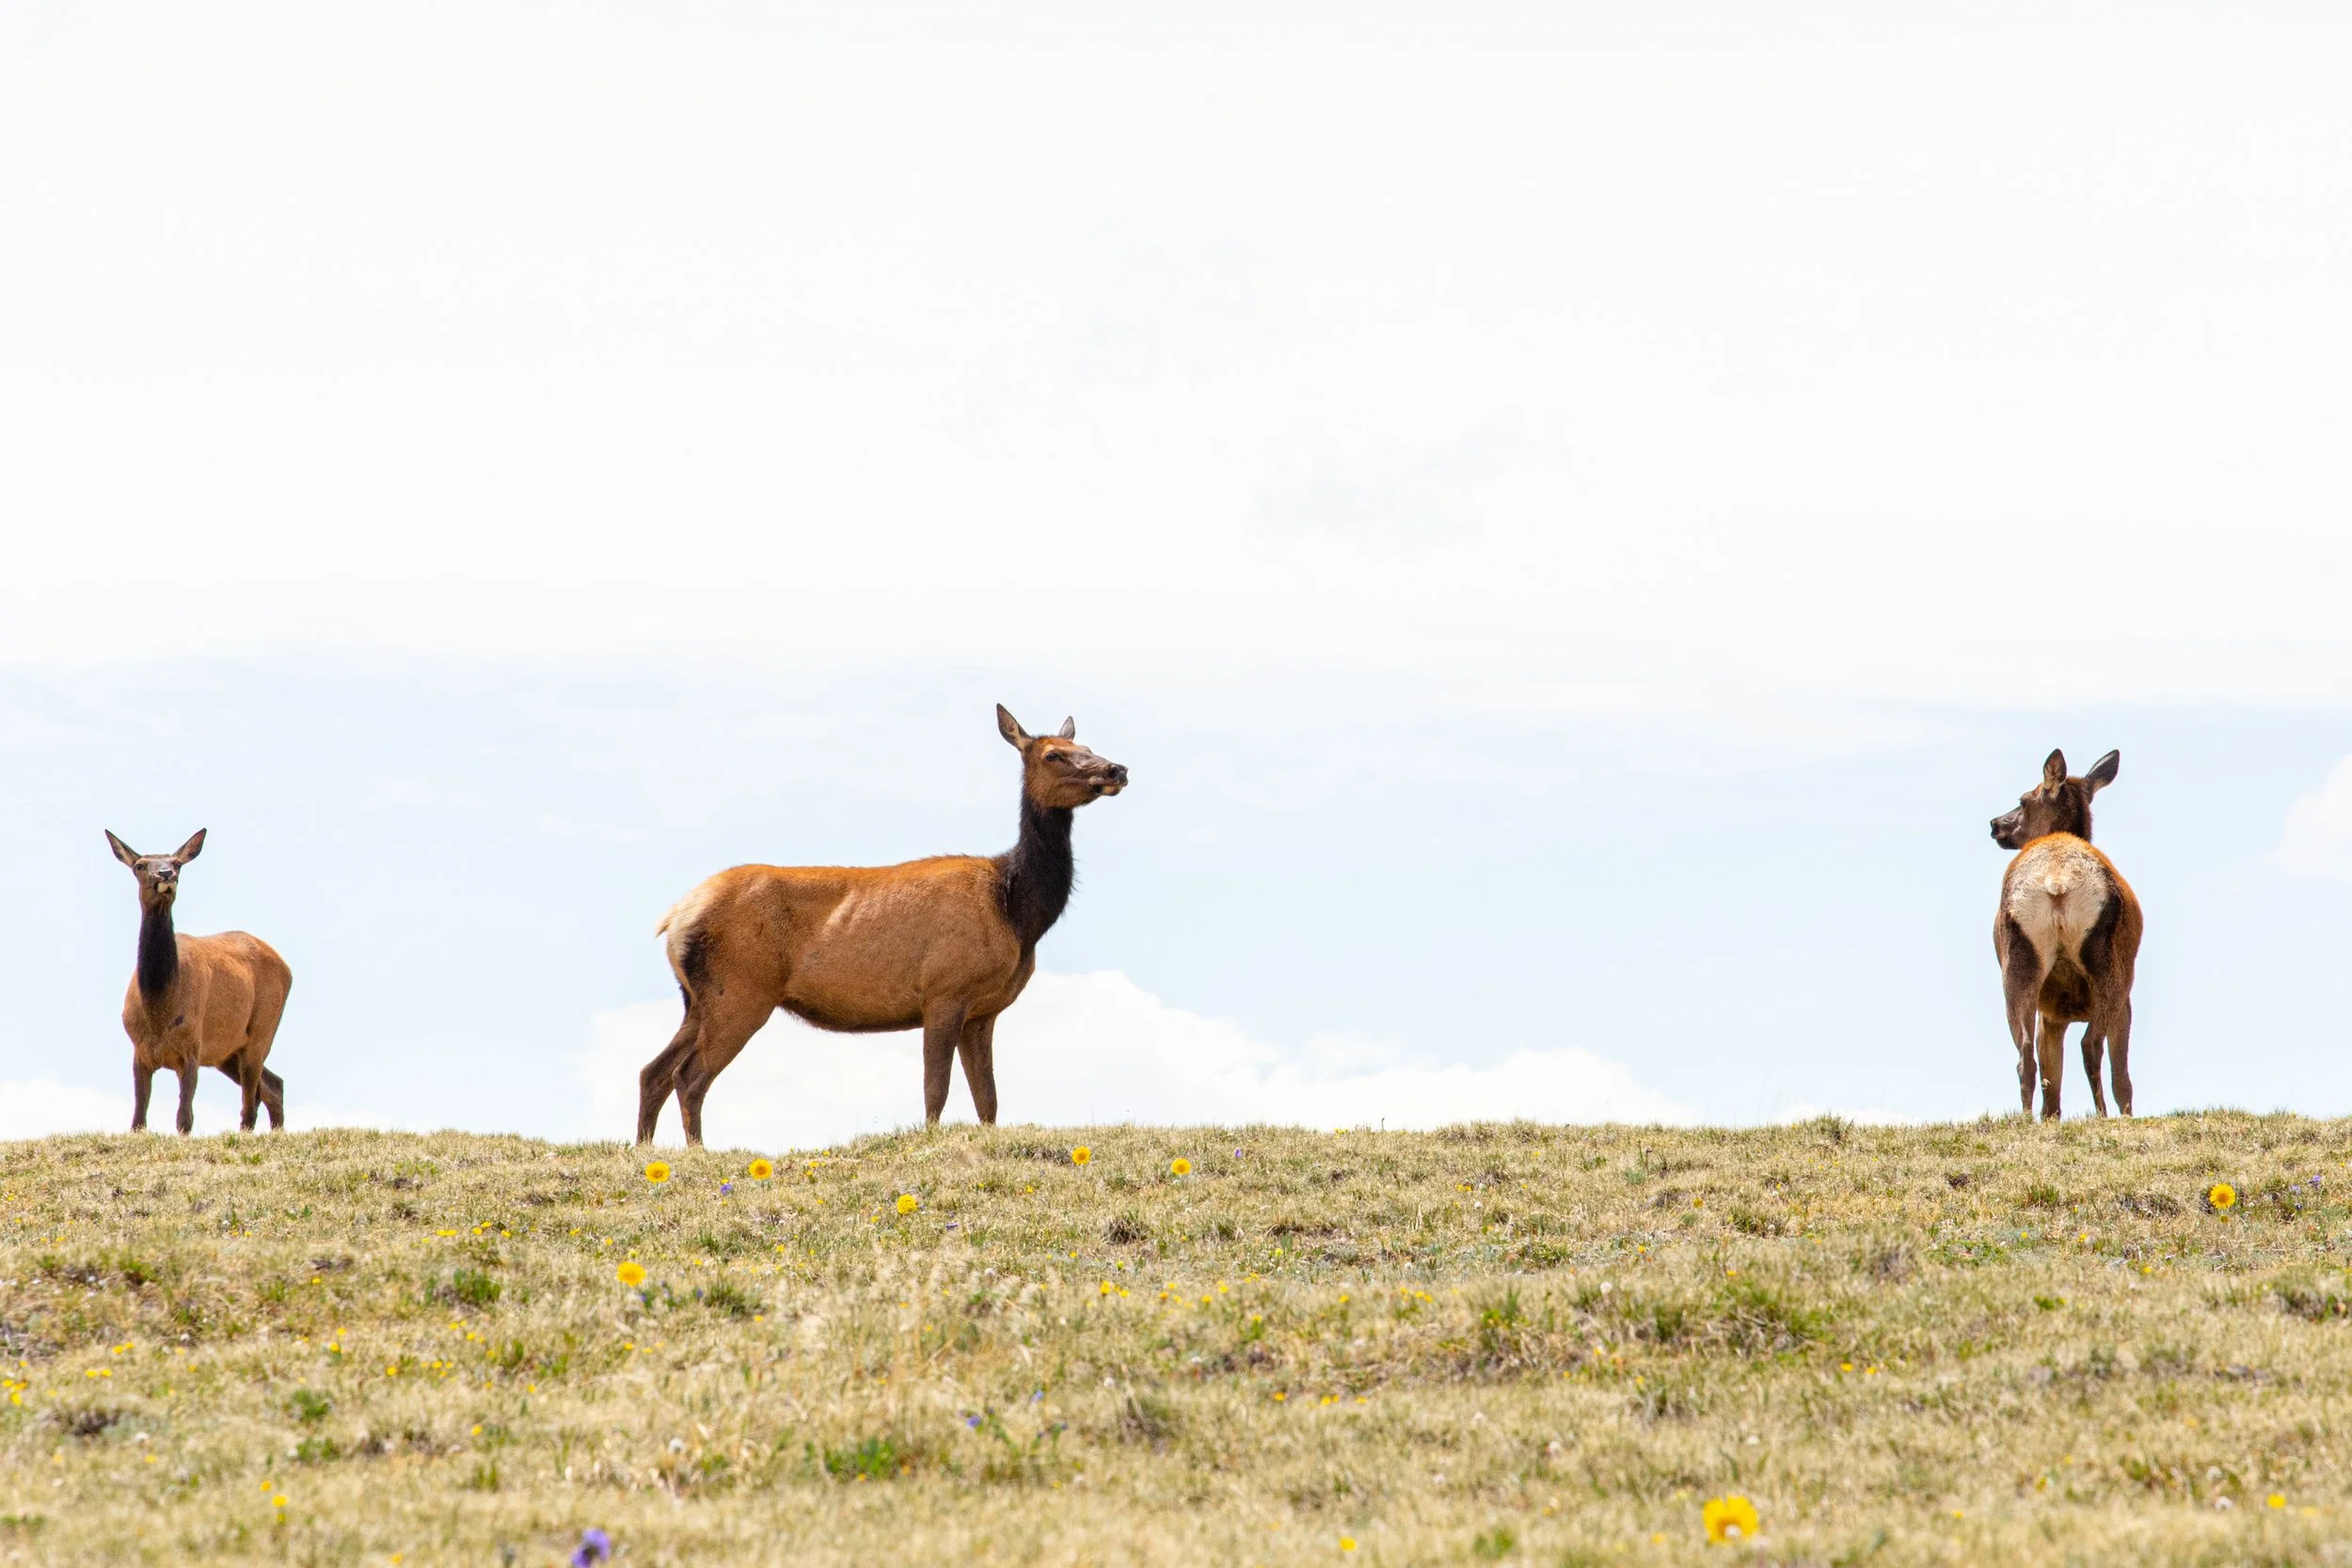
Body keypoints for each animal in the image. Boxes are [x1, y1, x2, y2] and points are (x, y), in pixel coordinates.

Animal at [105, 829, 292, 1135]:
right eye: (140, 865)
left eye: (178, 863)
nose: (166, 873)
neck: (159, 1010)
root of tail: (287, 967)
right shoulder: (139, 1050)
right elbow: (138, 1119)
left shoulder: (192, 1045)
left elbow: (184, 1118)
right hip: (227, 1052)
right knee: (272, 1085)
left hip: (262, 1031)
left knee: (250, 1101)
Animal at [635, 704, 1129, 1147]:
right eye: (1053, 755)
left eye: (1085, 746)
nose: (1117, 768)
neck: (1017, 913)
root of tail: (674, 919)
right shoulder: (945, 990)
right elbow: (936, 1089)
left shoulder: (983, 1010)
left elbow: (988, 1100)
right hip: (741, 990)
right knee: (688, 1076)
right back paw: (698, 1152)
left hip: (697, 998)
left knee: (652, 1071)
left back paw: (645, 1149)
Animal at [1989, 749, 2142, 1120]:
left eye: (2023, 800)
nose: (1995, 824)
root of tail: (2056, 880)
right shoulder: (2127, 1001)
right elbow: (2122, 1076)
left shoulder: (2051, 1014)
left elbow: (2052, 1084)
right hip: (2111, 966)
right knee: (2091, 1045)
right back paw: (2101, 1114)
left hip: (2018, 960)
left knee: (2025, 1056)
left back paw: (2026, 1118)